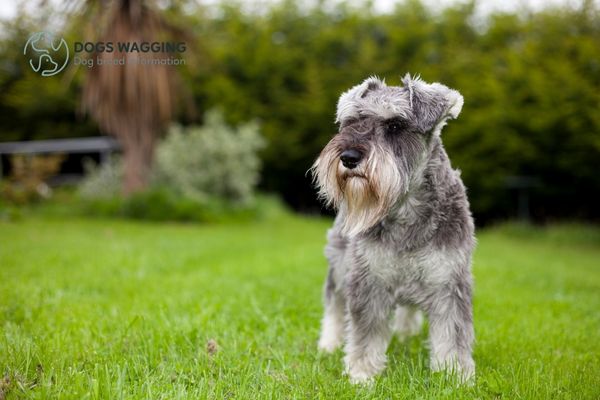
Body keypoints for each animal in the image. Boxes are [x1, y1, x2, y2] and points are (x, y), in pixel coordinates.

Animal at [312, 74, 476, 384]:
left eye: (395, 126)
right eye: (351, 122)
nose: (348, 157)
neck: (405, 210)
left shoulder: (448, 282)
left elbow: (452, 333)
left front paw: (454, 376)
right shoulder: (368, 280)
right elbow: (365, 334)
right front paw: (361, 374)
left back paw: (406, 334)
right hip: (339, 266)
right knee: (334, 305)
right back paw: (328, 344)